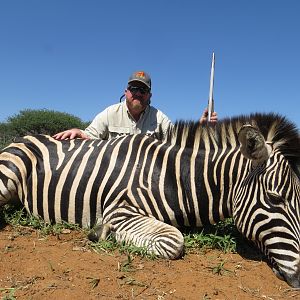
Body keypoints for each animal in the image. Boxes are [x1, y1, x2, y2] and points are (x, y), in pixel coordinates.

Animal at [0, 113, 298, 288]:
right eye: (275, 198)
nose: (298, 278)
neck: (174, 176)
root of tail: (23, 136)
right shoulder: (119, 208)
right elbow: (174, 241)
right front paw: (103, 233)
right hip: (8, 174)